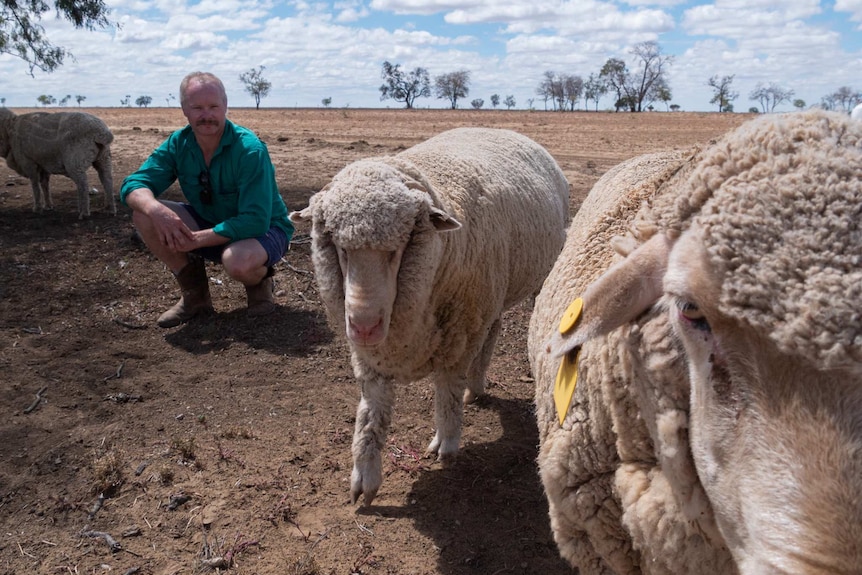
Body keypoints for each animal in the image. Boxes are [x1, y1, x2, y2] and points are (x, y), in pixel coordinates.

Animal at [292, 128, 572, 506]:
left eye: (396, 250)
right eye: (340, 248)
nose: (364, 326)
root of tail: (503, 129)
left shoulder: (460, 332)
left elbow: (447, 389)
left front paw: (447, 442)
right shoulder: (371, 357)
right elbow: (371, 414)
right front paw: (364, 475)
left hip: (533, 279)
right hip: (492, 294)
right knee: (493, 331)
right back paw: (476, 387)